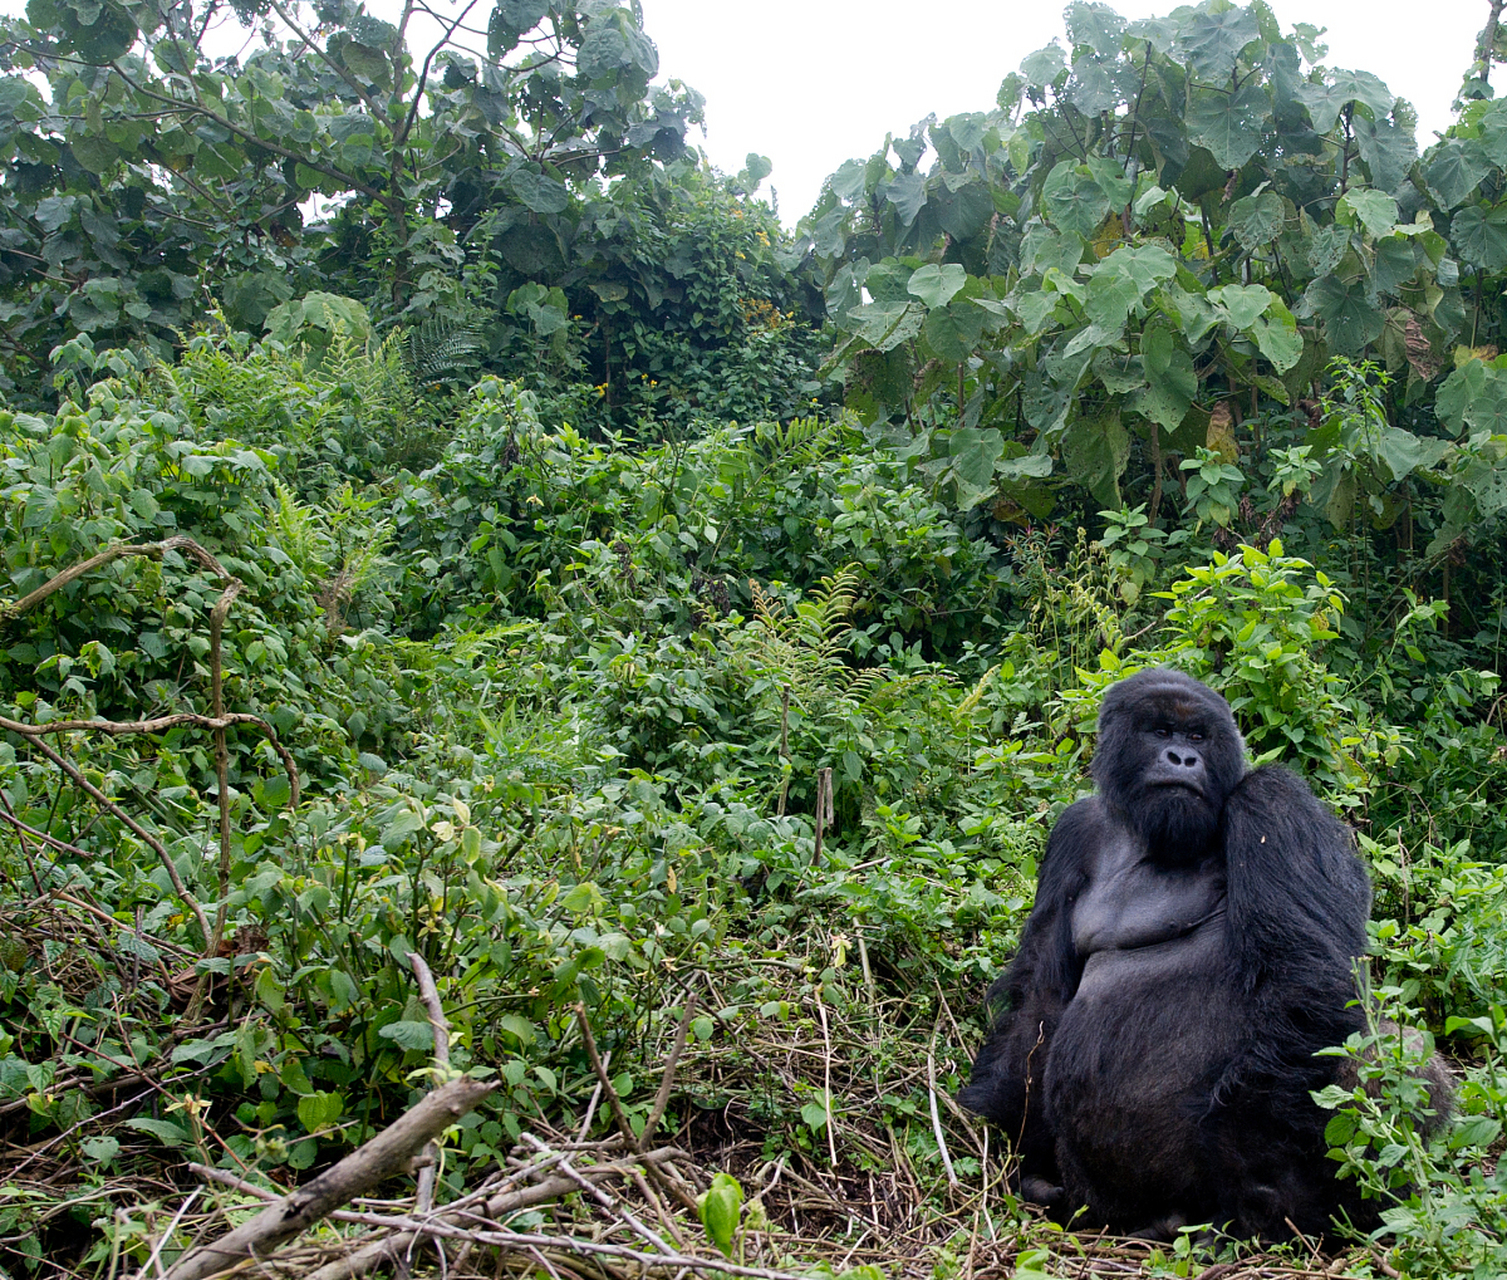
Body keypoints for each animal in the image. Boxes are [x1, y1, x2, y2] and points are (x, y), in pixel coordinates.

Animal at [964, 669, 1380, 1236]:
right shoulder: (1074, 831)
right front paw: (1018, 1146)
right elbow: (1040, 1004)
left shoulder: (1275, 801)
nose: (1183, 759)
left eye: (1199, 737)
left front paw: (1256, 1193)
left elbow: (1307, 979)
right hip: (1108, 1209)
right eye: (1161, 731)